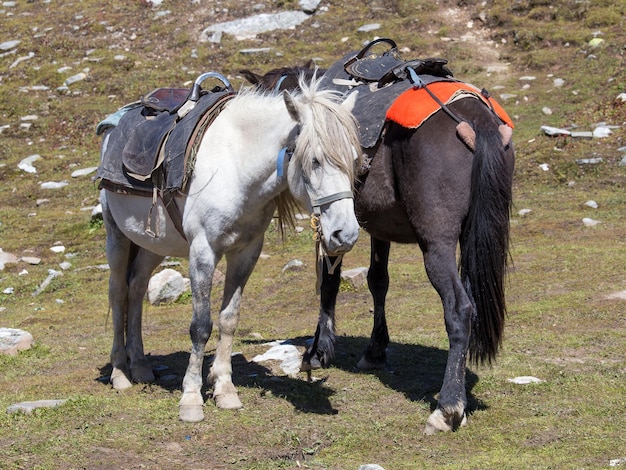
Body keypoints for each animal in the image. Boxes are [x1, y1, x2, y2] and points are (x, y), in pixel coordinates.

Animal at [98, 74, 360, 422]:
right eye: (315, 160)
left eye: (354, 160)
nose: (346, 234)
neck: (236, 165)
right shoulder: (203, 252)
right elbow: (200, 326)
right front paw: (191, 399)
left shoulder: (246, 253)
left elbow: (228, 320)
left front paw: (224, 389)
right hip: (117, 237)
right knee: (118, 293)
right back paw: (120, 373)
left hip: (151, 244)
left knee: (137, 288)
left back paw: (140, 366)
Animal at [243, 40, 512, 434]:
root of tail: (476, 120)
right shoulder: (376, 227)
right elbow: (377, 281)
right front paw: (374, 350)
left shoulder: (331, 225)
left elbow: (328, 282)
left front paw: (317, 351)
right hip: (473, 237)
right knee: (472, 302)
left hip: (438, 245)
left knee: (460, 309)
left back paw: (447, 407)